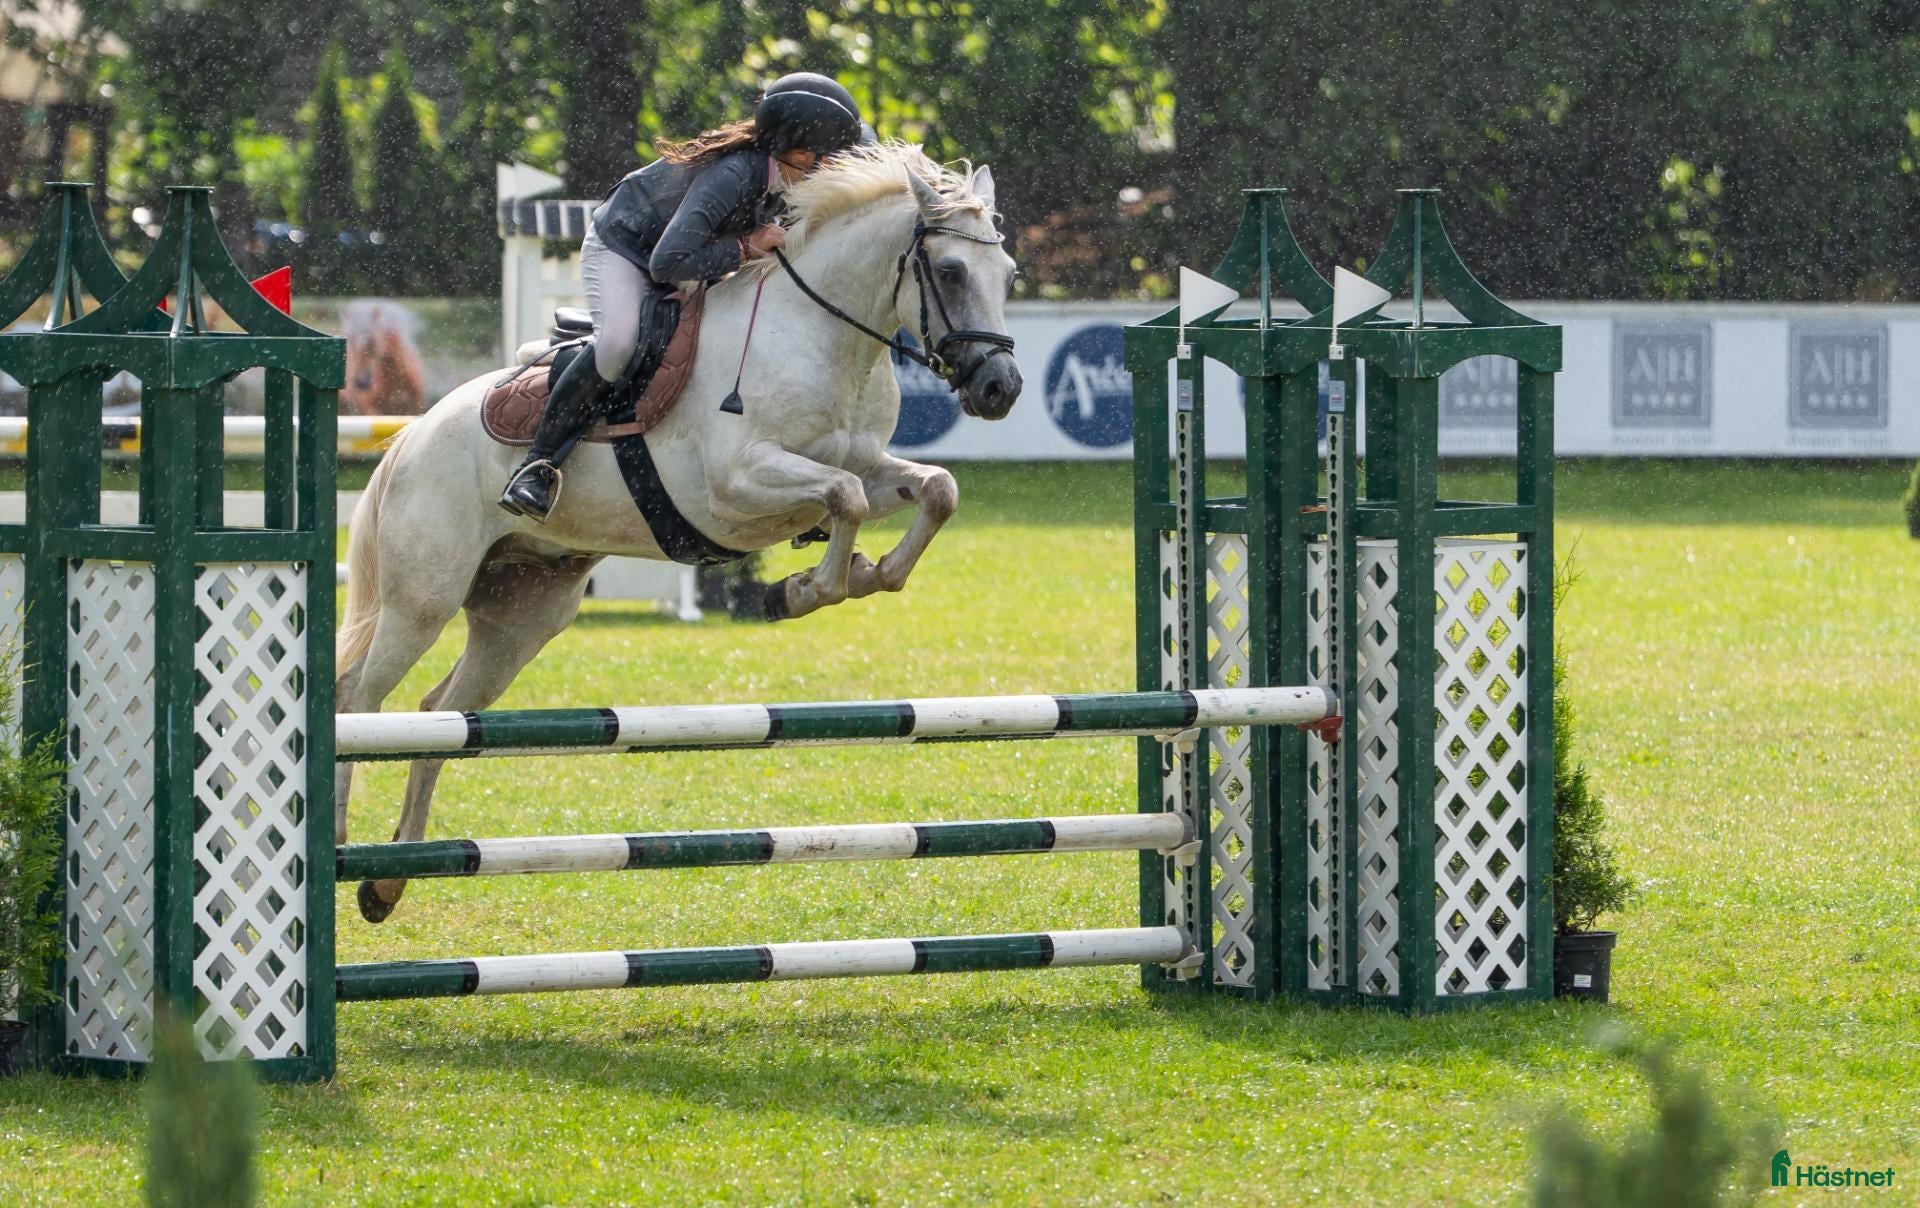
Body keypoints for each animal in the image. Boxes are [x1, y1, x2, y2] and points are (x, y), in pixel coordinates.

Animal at [334, 143, 1024, 922]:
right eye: (951, 271)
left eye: (1009, 275)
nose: (1001, 389)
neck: (826, 338)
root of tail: (411, 437)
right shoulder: (736, 486)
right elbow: (842, 499)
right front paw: (805, 590)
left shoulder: (867, 468)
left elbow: (933, 490)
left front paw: (858, 576)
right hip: (422, 601)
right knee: (359, 702)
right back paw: (340, 840)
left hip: (521, 617)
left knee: (439, 716)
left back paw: (387, 881)